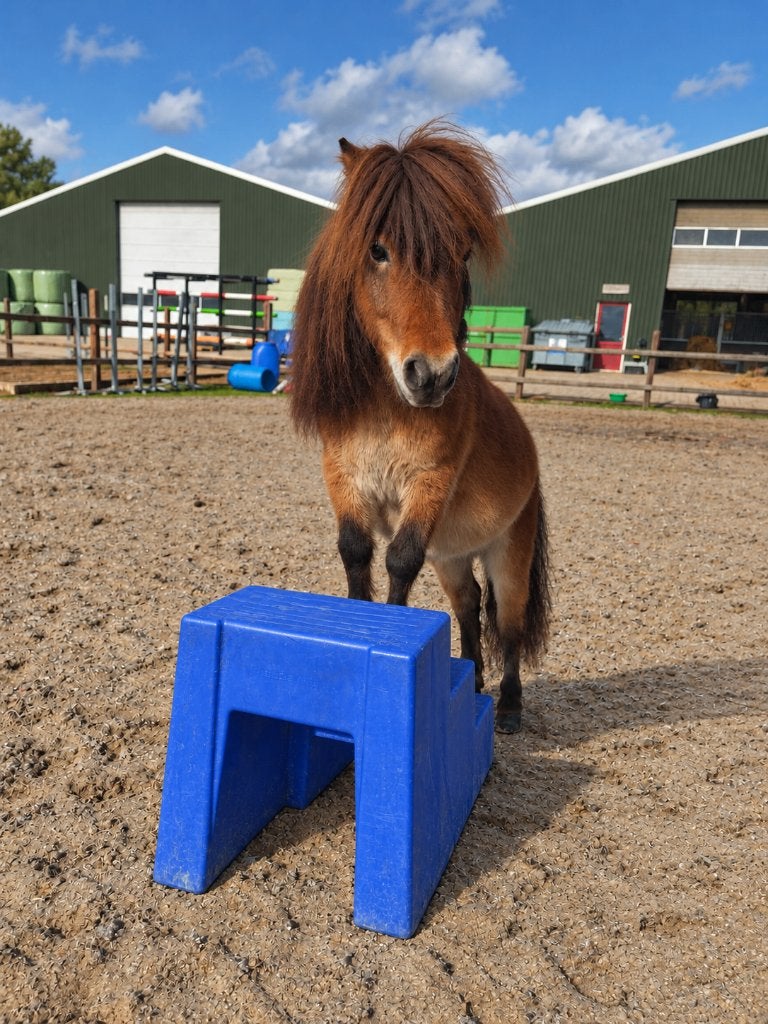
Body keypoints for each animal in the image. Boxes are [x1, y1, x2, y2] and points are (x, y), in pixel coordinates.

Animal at [290, 120, 550, 733]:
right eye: (377, 249)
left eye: (462, 253)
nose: (431, 375)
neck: (388, 408)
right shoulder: (345, 480)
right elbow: (356, 553)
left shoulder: (428, 486)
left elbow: (399, 562)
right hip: (454, 556)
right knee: (470, 607)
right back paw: (471, 683)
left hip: (509, 552)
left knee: (506, 620)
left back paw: (508, 708)